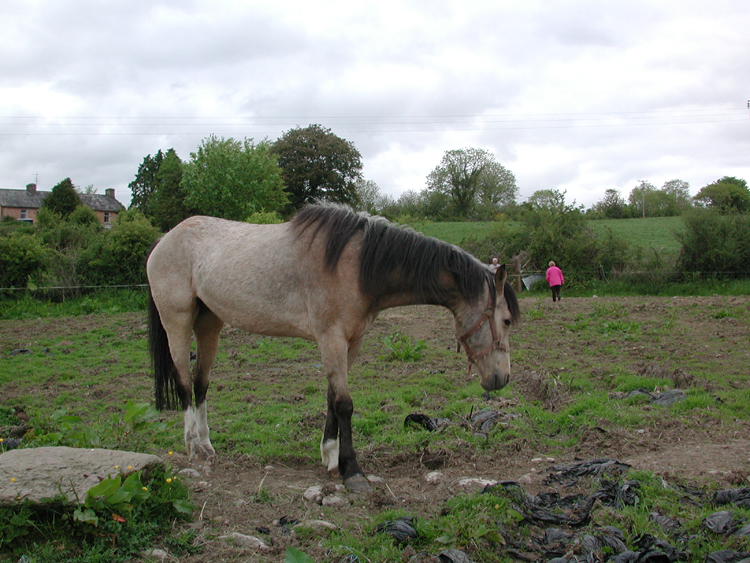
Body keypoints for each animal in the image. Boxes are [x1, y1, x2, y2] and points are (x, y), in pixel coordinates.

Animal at [149, 204, 520, 494]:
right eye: (506, 320)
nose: (502, 379)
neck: (356, 265)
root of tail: (164, 240)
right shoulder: (331, 339)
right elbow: (344, 404)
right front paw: (352, 472)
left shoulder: (351, 342)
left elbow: (331, 398)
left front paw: (330, 456)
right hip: (177, 322)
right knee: (184, 382)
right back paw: (193, 447)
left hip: (210, 323)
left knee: (201, 384)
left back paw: (208, 445)